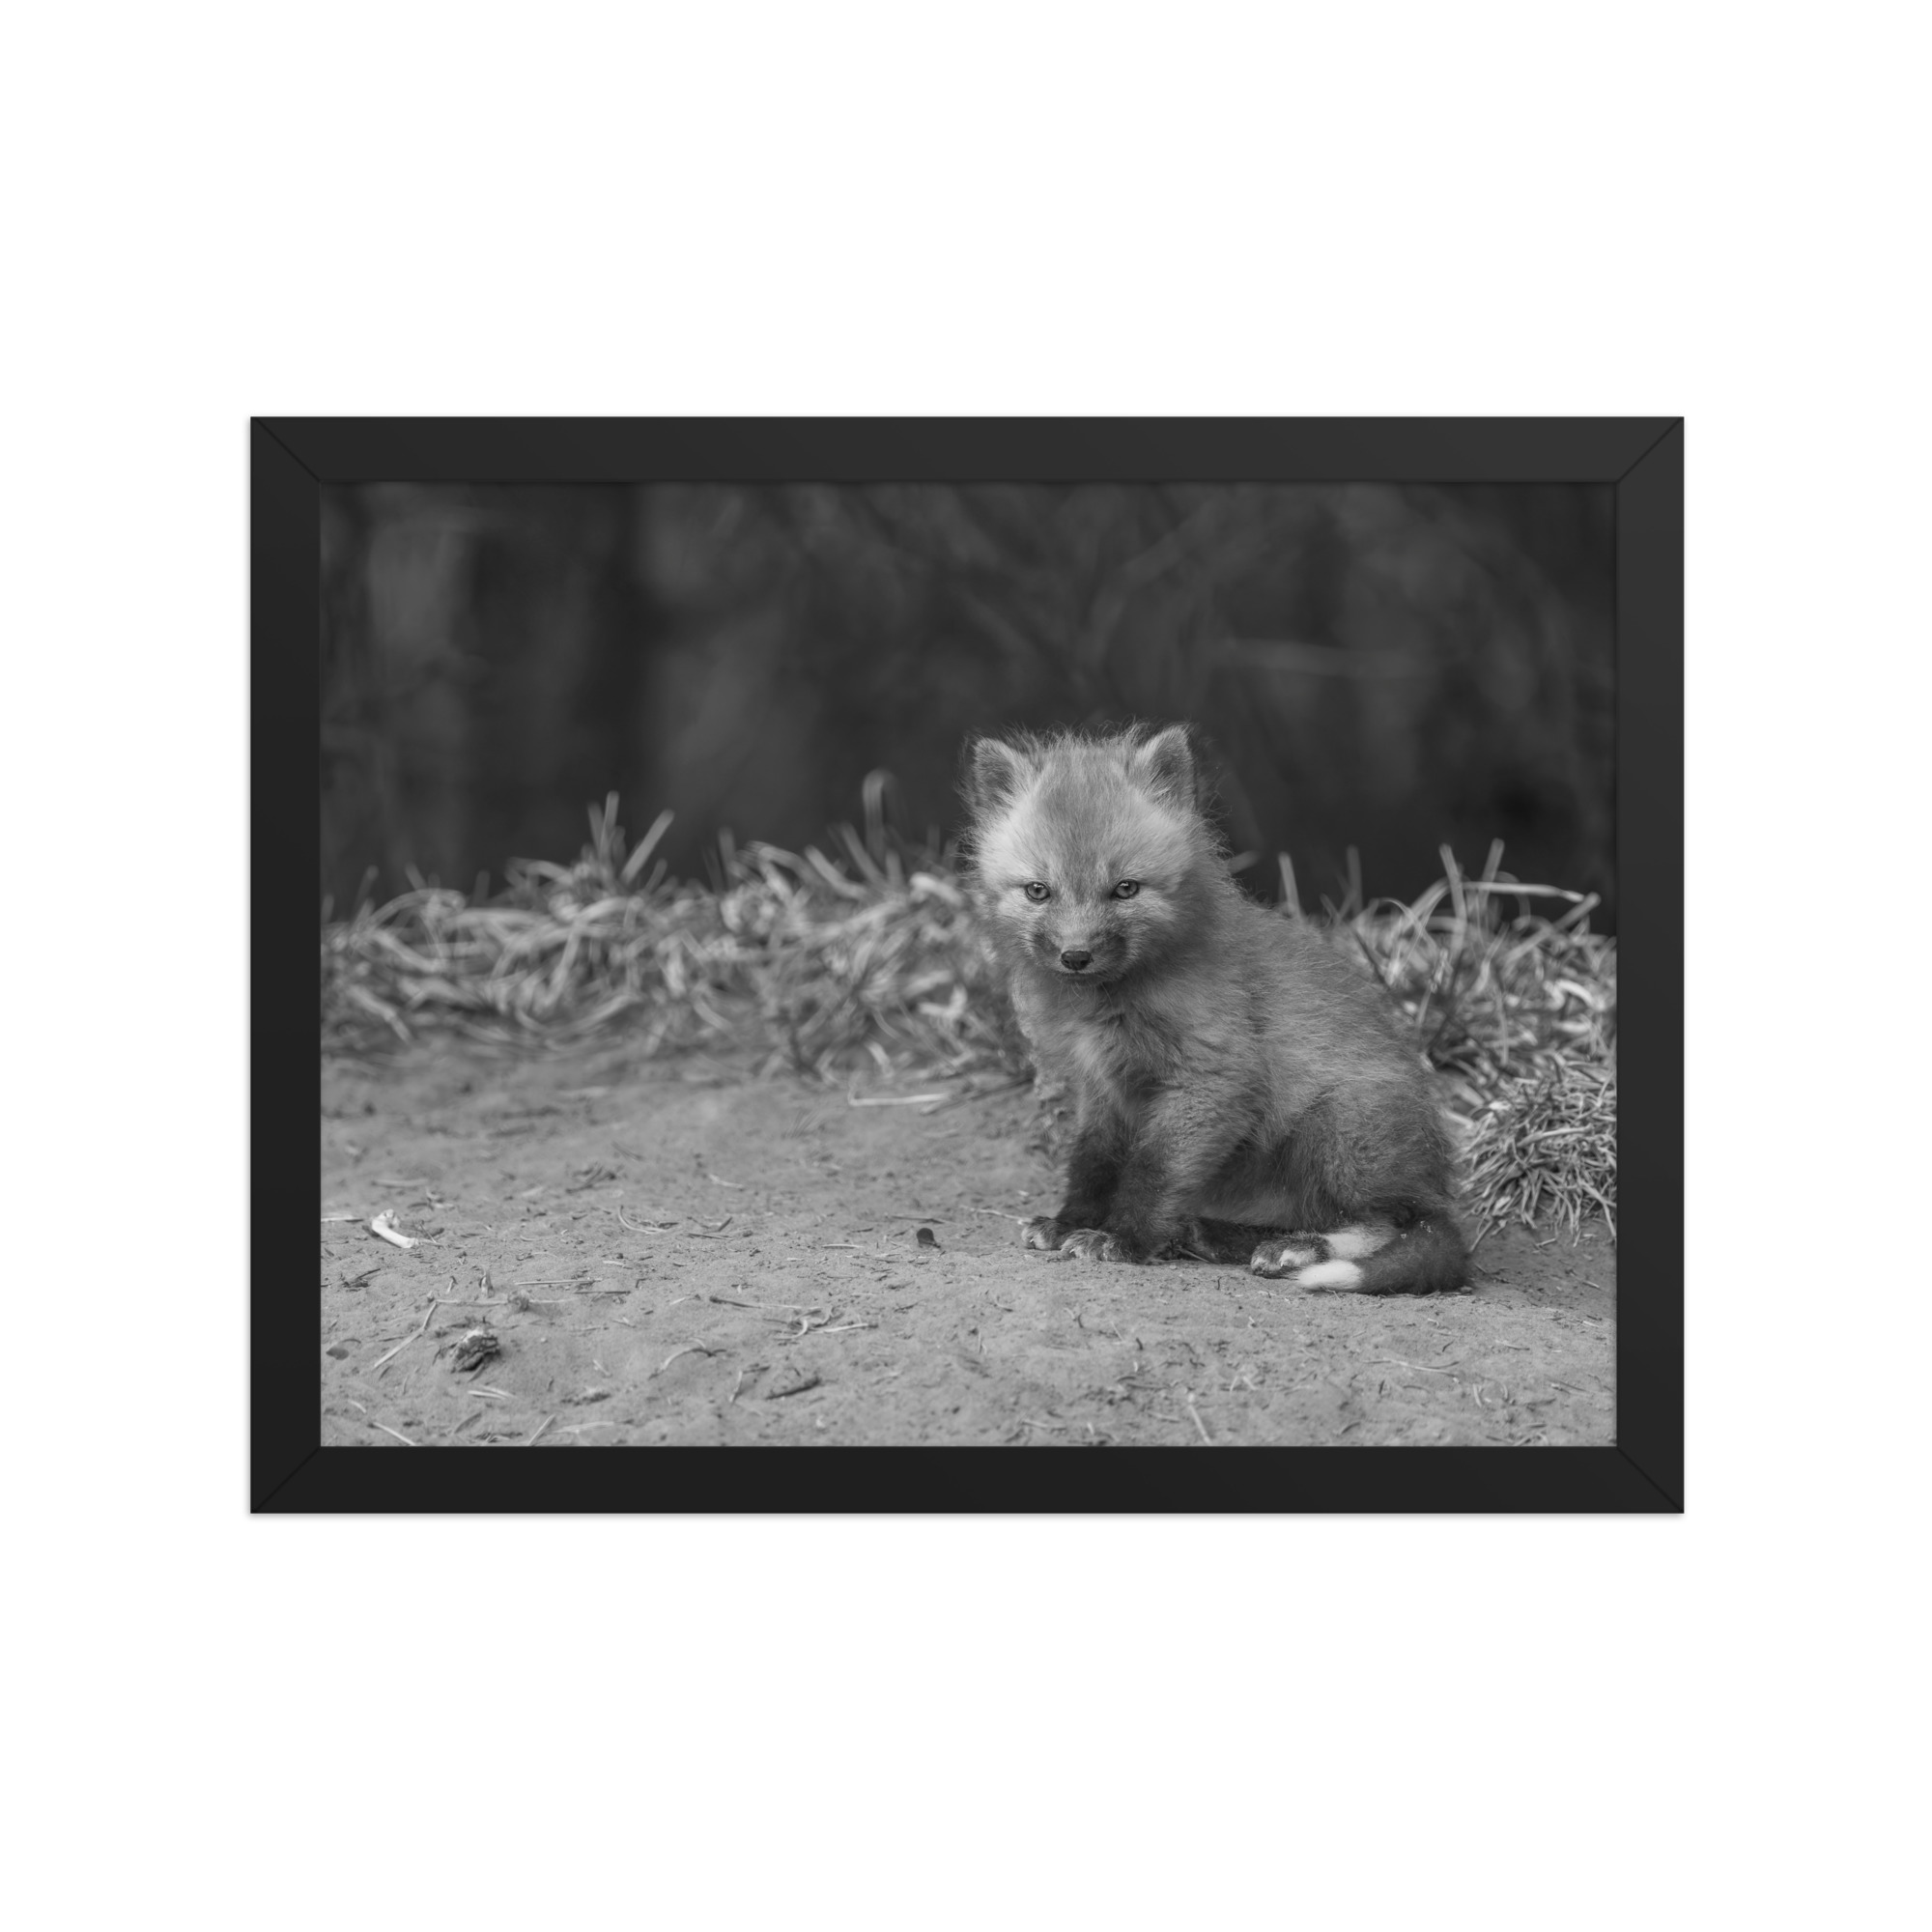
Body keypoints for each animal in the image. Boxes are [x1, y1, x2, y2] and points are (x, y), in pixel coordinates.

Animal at [963, 722, 1467, 1293]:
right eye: (1038, 891)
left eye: (1125, 889)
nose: (1076, 956)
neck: (1111, 1005)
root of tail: (1434, 1183)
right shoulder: (1103, 1088)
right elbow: (1093, 1163)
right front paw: (1071, 1222)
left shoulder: (1213, 1079)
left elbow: (1153, 1170)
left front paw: (1123, 1239)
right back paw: (1214, 1235)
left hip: (1336, 1129)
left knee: (1393, 1224)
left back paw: (1296, 1250)